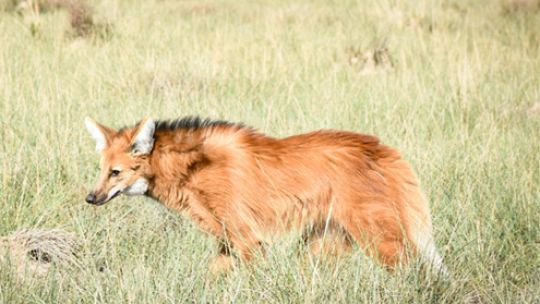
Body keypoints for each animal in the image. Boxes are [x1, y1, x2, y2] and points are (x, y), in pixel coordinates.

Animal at [84, 116, 448, 276]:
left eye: (115, 172)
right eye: (101, 170)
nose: (91, 198)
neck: (191, 170)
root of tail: (383, 149)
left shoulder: (248, 239)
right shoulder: (228, 242)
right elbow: (211, 276)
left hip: (376, 237)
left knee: (409, 268)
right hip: (326, 239)